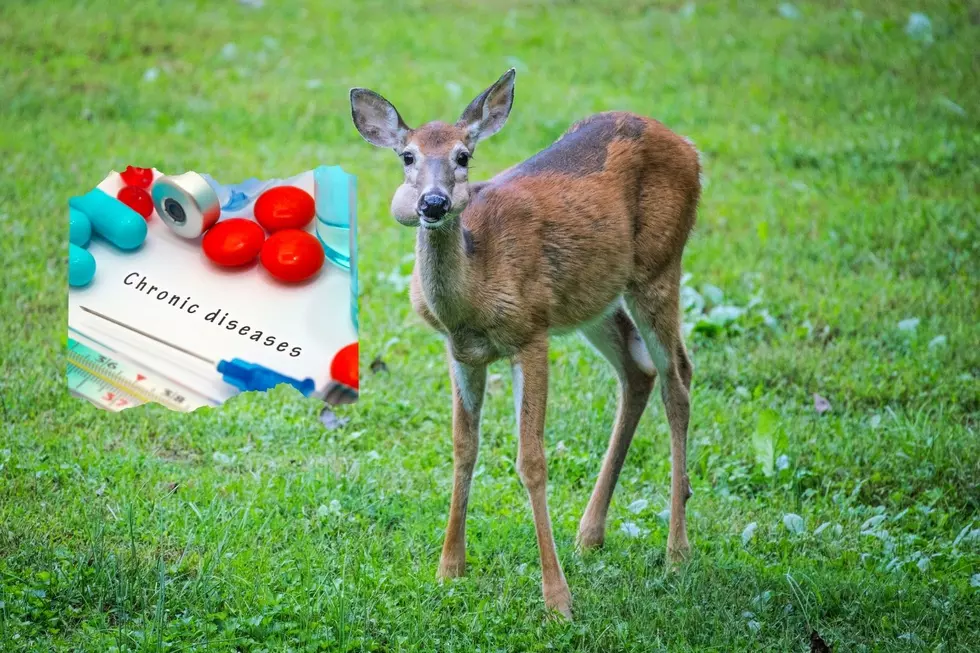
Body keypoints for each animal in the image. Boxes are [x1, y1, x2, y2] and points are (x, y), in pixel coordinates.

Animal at [350, 69, 700, 619]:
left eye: (463, 155)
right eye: (406, 155)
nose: (433, 203)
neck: (475, 288)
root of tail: (689, 147)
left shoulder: (531, 334)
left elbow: (531, 461)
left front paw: (557, 599)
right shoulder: (461, 352)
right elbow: (463, 447)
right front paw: (450, 568)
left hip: (659, 267)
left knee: (677, 378)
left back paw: (677, 551)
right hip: (591, 297)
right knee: (636, 370)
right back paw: (590, 532)